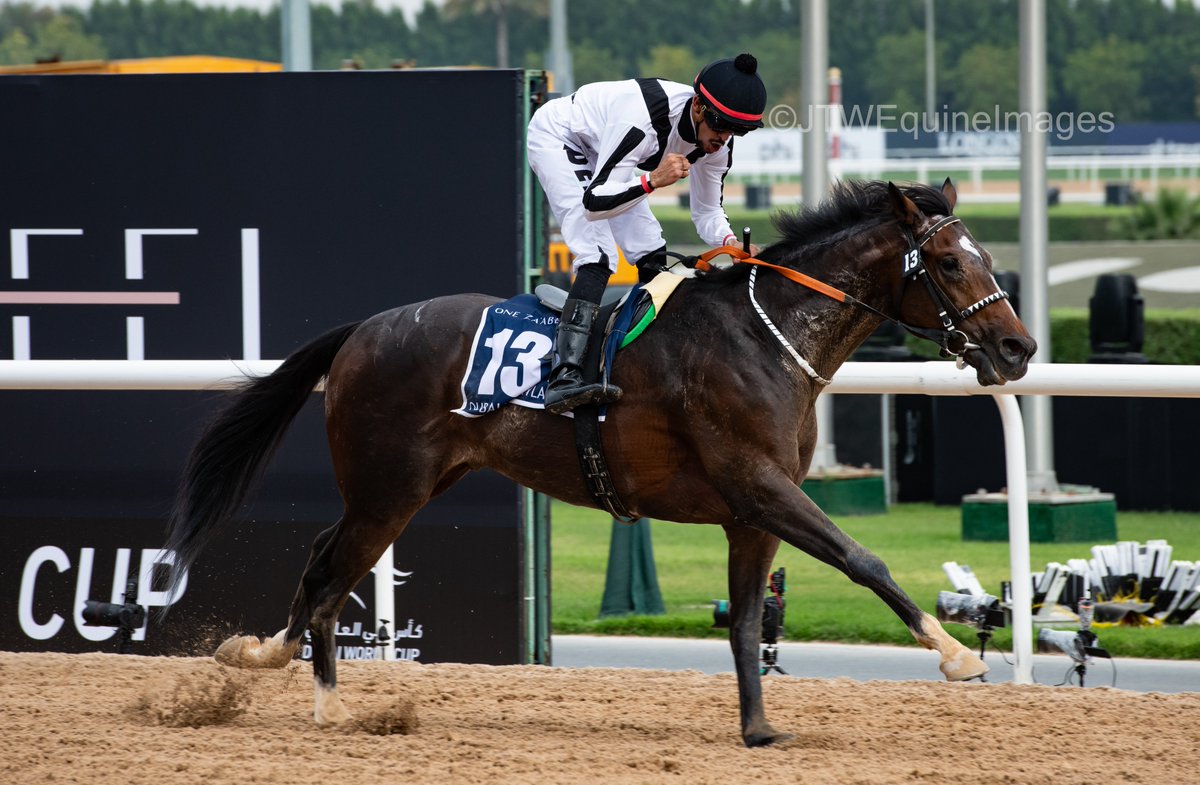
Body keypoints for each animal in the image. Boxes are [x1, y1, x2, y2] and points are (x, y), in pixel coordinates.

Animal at [164, 180, 1036, 748]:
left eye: (986, 257)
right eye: (951, 264)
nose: (1018, 347)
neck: (767, 337)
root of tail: (363, 330)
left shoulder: (751, 511)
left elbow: (747, 619)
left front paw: (758, 727)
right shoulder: (759, 483)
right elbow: (863, 557)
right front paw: (957, 654)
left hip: (408, 485)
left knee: (323, 559)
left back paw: (260, 654)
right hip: (389, 489)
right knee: (328, 572)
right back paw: (326, 704)